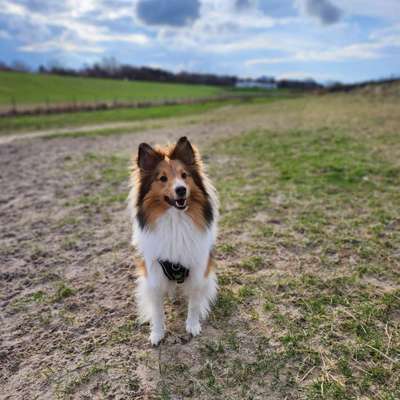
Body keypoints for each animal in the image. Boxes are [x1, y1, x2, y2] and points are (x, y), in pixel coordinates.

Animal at [128, 137, 219, 344]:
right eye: (162, 178)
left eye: (184, 175)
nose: (181, 190)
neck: (175, 221)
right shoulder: (154, 273)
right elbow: (157, 310)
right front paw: (157, 333)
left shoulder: (198, 270)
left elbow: (194, 303)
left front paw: (192, 326)